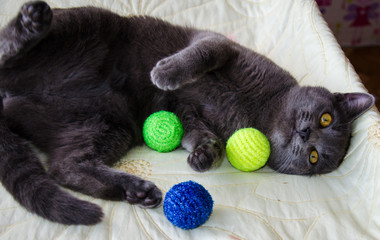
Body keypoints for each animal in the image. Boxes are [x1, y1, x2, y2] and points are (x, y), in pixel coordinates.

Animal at [0, 1, 374, 225]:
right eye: (326, 117)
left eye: (313, 158)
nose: (306, 134)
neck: (258, 111)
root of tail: (10, 100)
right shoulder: (221, 45)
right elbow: (203, 53)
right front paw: (166, 73)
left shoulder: (188, 114)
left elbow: (198, 133)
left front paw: (205, 155)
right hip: (88, 23)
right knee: (6, 49)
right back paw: (33, 20)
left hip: (106, 124)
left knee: (65, 167)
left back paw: (138, 191)